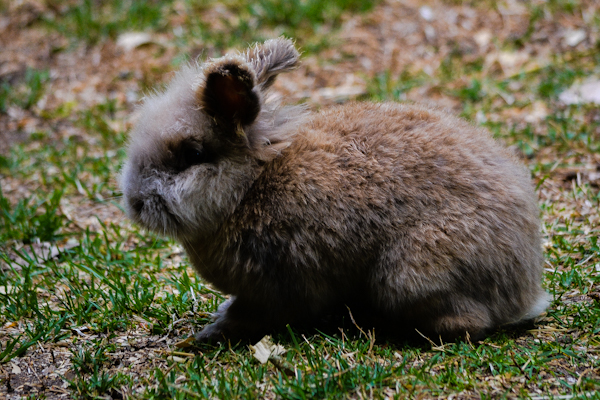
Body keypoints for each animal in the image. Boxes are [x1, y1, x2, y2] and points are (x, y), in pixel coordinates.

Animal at [120, 38, 548, 344]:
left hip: (408, 273)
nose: (134, 203)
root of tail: (524, 289)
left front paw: (213, 332)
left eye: (191, 155)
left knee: (466, 322)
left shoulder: (279, 284)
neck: (249, 187)